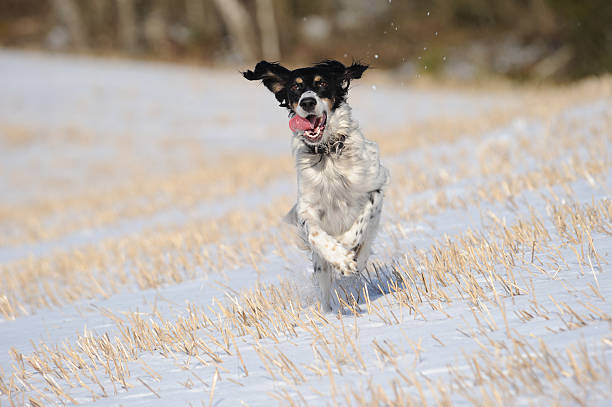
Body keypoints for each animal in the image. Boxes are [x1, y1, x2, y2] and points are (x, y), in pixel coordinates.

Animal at [243, 59, 388, 310]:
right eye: (295, 87)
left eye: (321, 83)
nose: (307, 102)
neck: (327, 152)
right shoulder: (307, 207)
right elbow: (316, 234)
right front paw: (340, 257)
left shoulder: (375, 185)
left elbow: (361, 221)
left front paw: (346, 244)